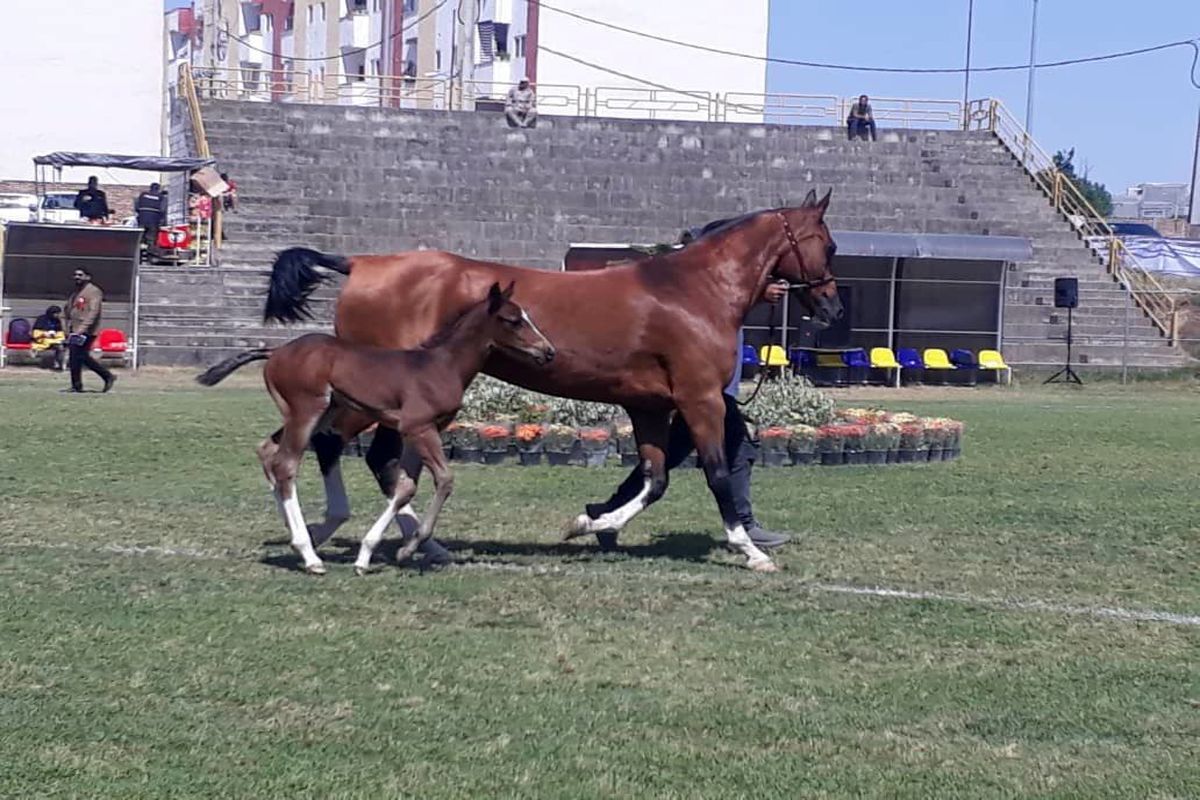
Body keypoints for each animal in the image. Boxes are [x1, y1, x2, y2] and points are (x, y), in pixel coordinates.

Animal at [194, 281, 554, 575]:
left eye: (527, 316)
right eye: (512, 319)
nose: (548, 351)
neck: (441, 365)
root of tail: (277, 350)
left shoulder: (418, 432)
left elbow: (404, 487)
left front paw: (371, 553)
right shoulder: (419, 428)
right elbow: (444, 479)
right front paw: (404, 550)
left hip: (315, 414)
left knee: (268, 452)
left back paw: (299, 533)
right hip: (307, 410)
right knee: (285, 464)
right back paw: (309, 555)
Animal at [262, 191, 844, 573]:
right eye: (830, 244)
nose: (832, 307)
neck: (692, 290)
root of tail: (360, 263)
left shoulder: (651, 407)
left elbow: (654, 479)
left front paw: (592, 524)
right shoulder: (701, 402)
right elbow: (718, 473)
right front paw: (750, 549)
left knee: (345, 454)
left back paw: (384, 541)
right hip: (372, 398)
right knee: (338, 448)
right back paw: (339, 539)